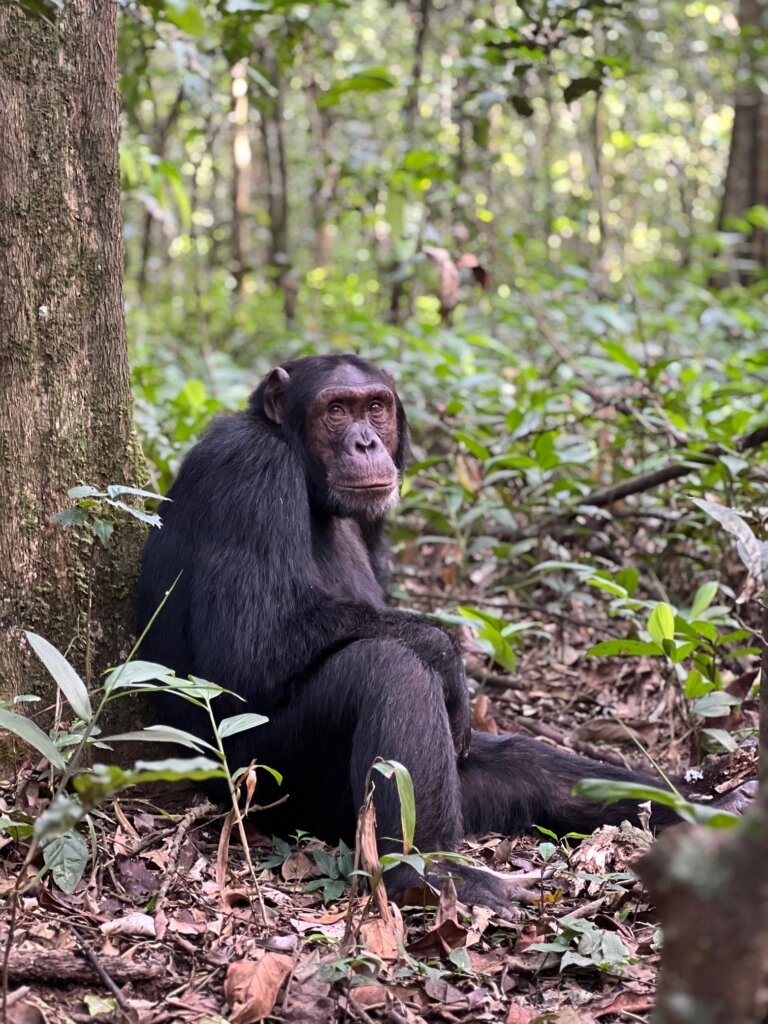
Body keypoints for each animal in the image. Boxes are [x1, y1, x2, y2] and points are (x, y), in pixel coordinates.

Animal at [137, 356, 753, 917]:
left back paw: (713, 805)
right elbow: (249, 646)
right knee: (389, 671)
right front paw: (446, 657)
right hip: (270, 784)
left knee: (530, 766)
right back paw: (434, 872)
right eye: (335, 411)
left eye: (374, 407)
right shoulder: (248, 471)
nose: (364, 442)